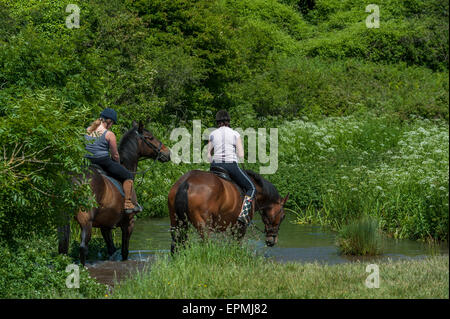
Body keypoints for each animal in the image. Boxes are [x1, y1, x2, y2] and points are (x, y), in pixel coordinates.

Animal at [59, 121, 171, 266]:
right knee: (83, 247)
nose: (167, 153)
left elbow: (111, 249)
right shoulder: (129, 223)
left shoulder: (105, 225)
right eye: (150, 137)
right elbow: (124, 251)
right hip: (86, 219)